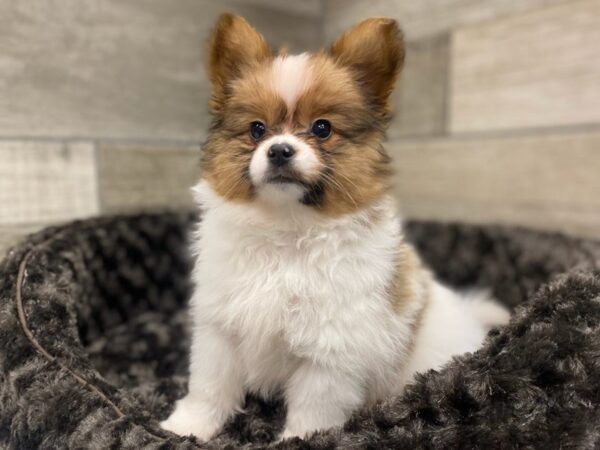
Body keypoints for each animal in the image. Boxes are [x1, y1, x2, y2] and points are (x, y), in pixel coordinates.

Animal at [162, 14, 508, 442]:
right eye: (257, 130)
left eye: (322, 128)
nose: (279, 149)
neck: (287, 231)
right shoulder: (219, 329)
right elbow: (209, 386)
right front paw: (187, 428)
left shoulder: (329, 352)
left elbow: (313, 411)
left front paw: (298, 442)